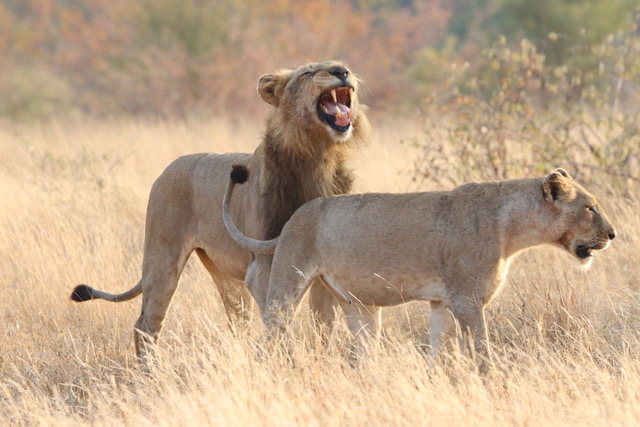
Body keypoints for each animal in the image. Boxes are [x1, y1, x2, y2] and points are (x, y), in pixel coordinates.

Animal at [70, 61, 371, 362]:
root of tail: (165, 171)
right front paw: (287, 357)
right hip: (162, 259)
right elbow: (278, 314)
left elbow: (323, 322)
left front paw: (320, 357)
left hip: (225, 274)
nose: (342, 71)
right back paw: (149, 370)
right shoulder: (262, 265)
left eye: (341, 65)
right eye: (308, 73)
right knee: (145, 324)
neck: (320, 155)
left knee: (236, 322)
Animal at [224, 165, 616, 366]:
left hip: (358, 305)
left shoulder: (442, 303)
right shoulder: (466, 299)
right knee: (269, 336)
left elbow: (437, 351)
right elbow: (482, 351)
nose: (613, 234)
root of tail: (293, 218)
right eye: (590, 208)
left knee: (362, 351)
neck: (514, 230)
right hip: (288, 284)